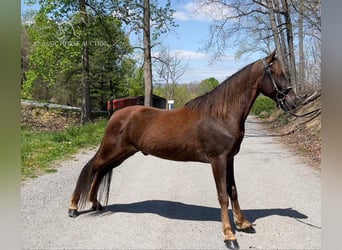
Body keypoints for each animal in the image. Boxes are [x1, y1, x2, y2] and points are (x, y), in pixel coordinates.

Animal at [67, 51, 296, 250]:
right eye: (276, 73)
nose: (293, 101)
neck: (221, 115)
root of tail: (116, 114)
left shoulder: (230, 159)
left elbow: (233, 190)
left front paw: (243, 224)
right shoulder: (218, 160)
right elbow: (222, 195)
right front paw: (230, 236)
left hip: (122, 154)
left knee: (100, 171)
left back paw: (95, 203)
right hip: (112, 151)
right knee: (90, 168)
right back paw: (73, 208)